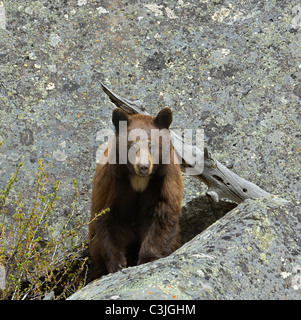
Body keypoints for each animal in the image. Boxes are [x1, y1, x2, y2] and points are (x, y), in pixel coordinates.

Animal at [88, 107, 183, 278]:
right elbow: (107, 218)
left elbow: (162, 215)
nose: (143, 166)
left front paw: (148, 257)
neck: (138, 180)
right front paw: (117, 264)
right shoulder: (112, 183)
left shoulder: (164, 181)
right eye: (131, 144)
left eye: (152, 145)